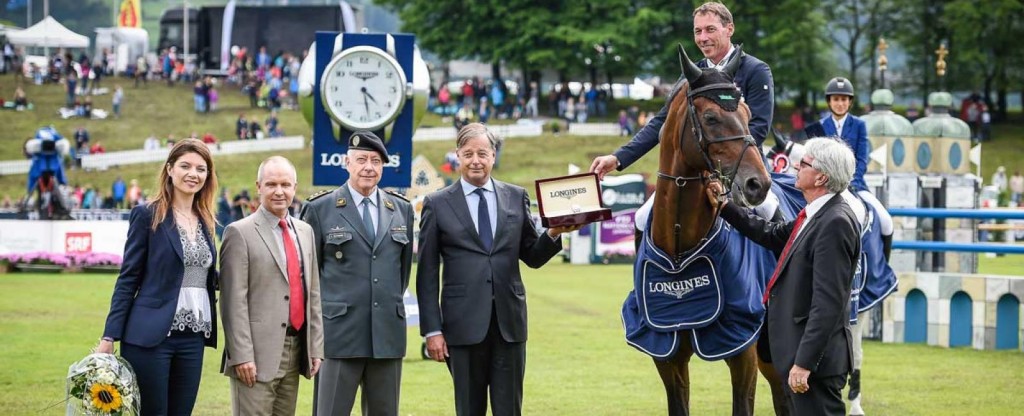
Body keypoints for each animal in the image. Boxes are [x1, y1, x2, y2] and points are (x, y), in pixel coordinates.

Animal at [643, 43, 786, 413]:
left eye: (748, 114)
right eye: (710, 118)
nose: (757, 185)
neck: (680, 245)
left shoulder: (742, 349)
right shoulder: (667, 356)